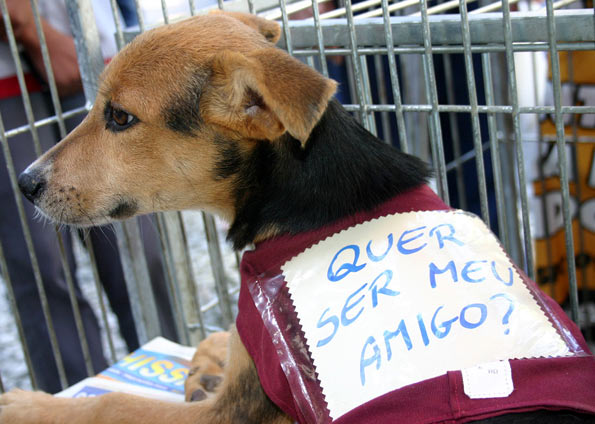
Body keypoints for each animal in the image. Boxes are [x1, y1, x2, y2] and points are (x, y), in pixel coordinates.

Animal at [4, 9, 595, 424]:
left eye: (121, 118)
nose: (25, 184)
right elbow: (222, 337)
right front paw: (207, 357)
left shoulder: (231, 416)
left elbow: (109, 405)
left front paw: (30, 407)